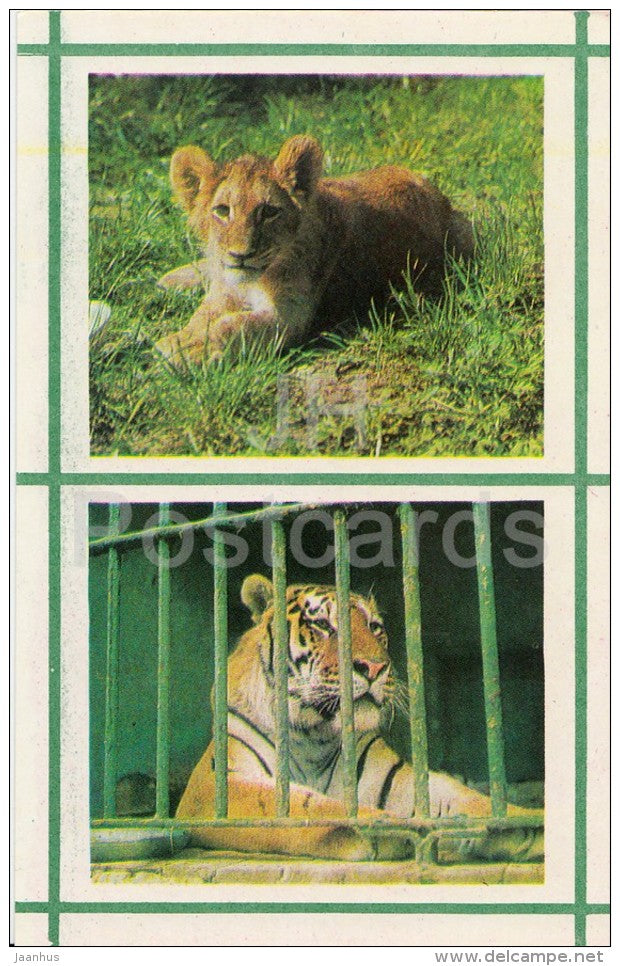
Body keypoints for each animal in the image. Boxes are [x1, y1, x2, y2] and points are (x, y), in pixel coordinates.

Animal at [154, 135, 473, 364]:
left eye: (269, 212)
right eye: (222, 211)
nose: (240, 255)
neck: (255, 280)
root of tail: (438, 195)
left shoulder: (291, 316)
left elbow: (236, 325)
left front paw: (188, 348)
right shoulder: (225, 291)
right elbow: (203, 314)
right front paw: (184, 337)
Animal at [177, 574, 544, 863]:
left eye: (374, 627)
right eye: (322, 625)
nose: (375, 667)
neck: (313, 731)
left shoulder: (391, 774)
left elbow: (458, 795)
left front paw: (521, 823)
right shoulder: (210, 789)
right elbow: (305, 806)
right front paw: (383, 828)